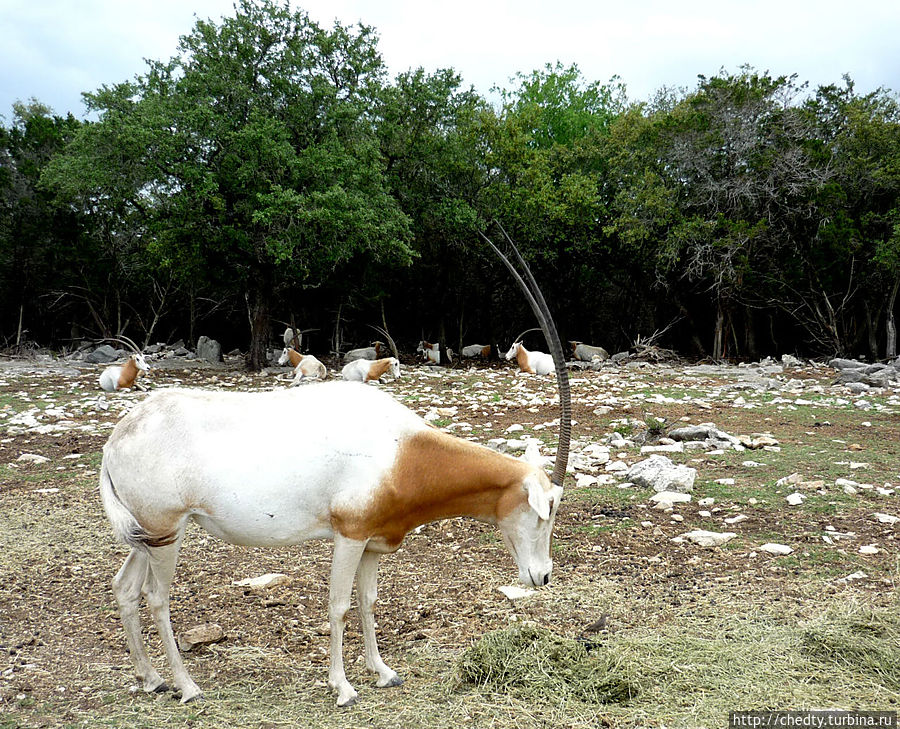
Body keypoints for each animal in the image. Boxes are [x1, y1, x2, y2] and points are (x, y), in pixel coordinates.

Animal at [95, 226, 568, 704]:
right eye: (544, 510)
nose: (543, 576)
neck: (403, 451)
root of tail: (116, 440)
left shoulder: (372, 542)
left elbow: (368, 601)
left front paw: (383, 672)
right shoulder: (349, 535)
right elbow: (338, 605)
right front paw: (342, 686)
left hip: (149, 534)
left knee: (125, 587)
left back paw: (151, 678)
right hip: (165, 531)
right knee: (156, 596)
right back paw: (187, 686)